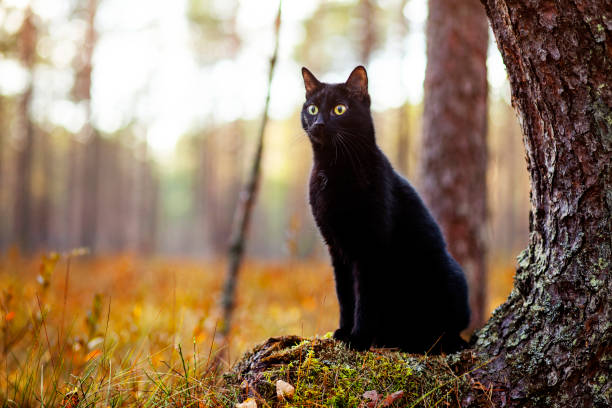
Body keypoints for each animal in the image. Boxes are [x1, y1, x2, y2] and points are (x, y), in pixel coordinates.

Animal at [300, 66, 468, 354]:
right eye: (312, 109)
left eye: (339, 109)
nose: (318, 123)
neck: (333, 167)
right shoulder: (337, 248)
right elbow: (345, 295)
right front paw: (343, 331)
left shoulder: (371, 247)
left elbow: (366, 299)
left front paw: (359, 339)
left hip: (450, 276)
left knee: (447, 331)